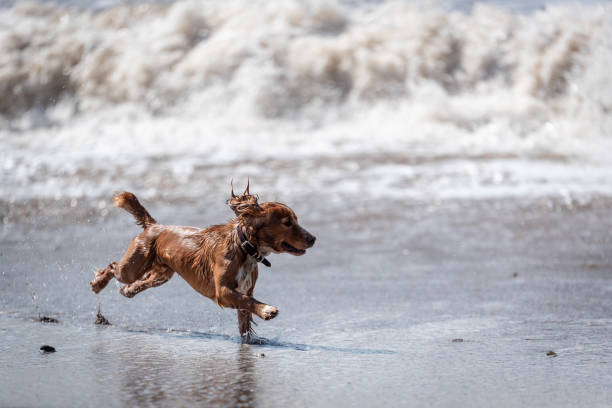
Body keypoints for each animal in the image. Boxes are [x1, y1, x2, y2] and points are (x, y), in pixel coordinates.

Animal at [89, 182, 316, 338]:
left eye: (295, 220)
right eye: (287, 222)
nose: (313, 238)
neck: (244, 248)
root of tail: (154, 226)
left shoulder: (245, 288)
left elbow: (245, 317)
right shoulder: (223, 291)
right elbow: (248, 301)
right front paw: (267, 310)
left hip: (162, 274)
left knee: (139, 283)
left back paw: (127, 291)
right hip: (132, 266)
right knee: (112, 267)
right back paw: (98, 284)